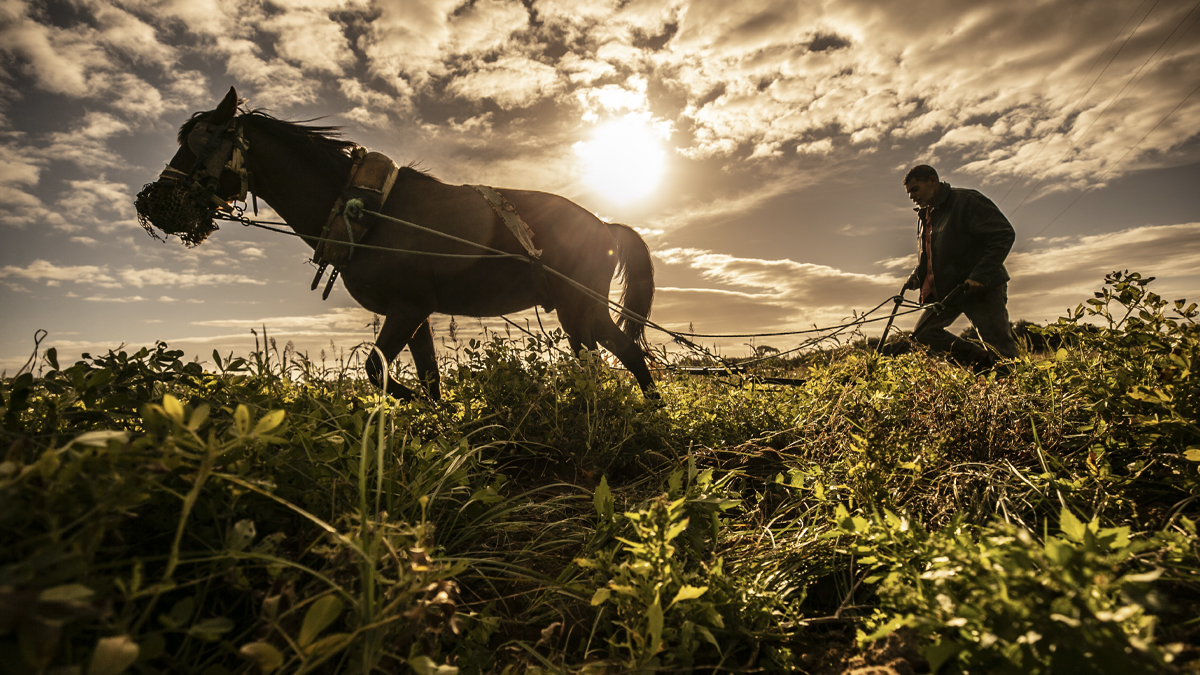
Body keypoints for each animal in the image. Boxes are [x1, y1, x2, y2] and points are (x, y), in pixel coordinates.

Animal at [137, 85, 662, 396]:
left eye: (199, 141)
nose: (150, 202)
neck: (363, 210)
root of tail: (605, 224)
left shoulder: (406, 309)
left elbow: (378, 373)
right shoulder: (417, 313)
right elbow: (428, 381)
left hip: (577, 307)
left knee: (615, 359)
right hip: (582, 311)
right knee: (624, 355)